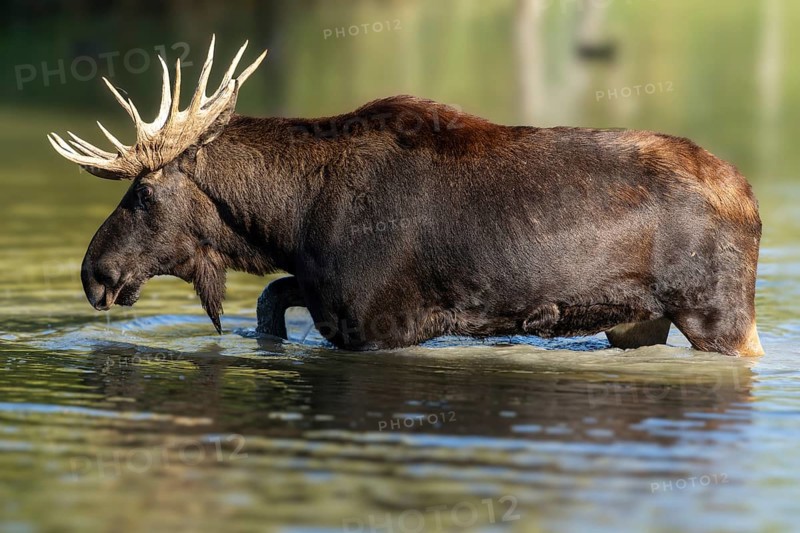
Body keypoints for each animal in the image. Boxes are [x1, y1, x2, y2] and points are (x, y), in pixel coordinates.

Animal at [48, 38, 764, 356]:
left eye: (143, 192)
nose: (93, 273)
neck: (288, 222)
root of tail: (752, 199)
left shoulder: (381, 324)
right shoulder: (324, 295)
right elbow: (271, 300)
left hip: (719, 312)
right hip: (637, 320)